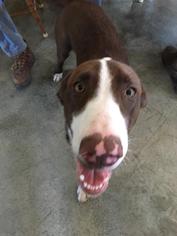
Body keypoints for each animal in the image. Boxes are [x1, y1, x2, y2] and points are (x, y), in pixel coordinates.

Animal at [54, 0, 147, 203]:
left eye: (130, 92)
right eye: (79, 87)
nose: (101, 151)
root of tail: (78, 2)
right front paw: (83, 190)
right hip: (63, 43)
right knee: (60, 57)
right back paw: (57, 72)